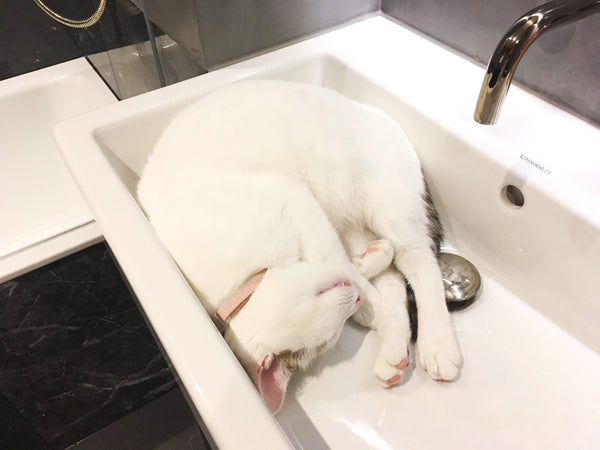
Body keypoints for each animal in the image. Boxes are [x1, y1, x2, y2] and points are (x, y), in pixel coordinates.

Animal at [138, 79, 462, 414]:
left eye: (322, 292)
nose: (357, 299)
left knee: (421, 266)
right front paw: (369, 292)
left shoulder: (293, 201)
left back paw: (437, 346)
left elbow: (336, 258)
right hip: (353, 224)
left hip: (388, 211)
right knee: (395, 280)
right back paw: (393, 353)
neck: (241, 280)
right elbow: (354, 267)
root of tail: (384, 118)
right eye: (328, 340)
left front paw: (369, 294)